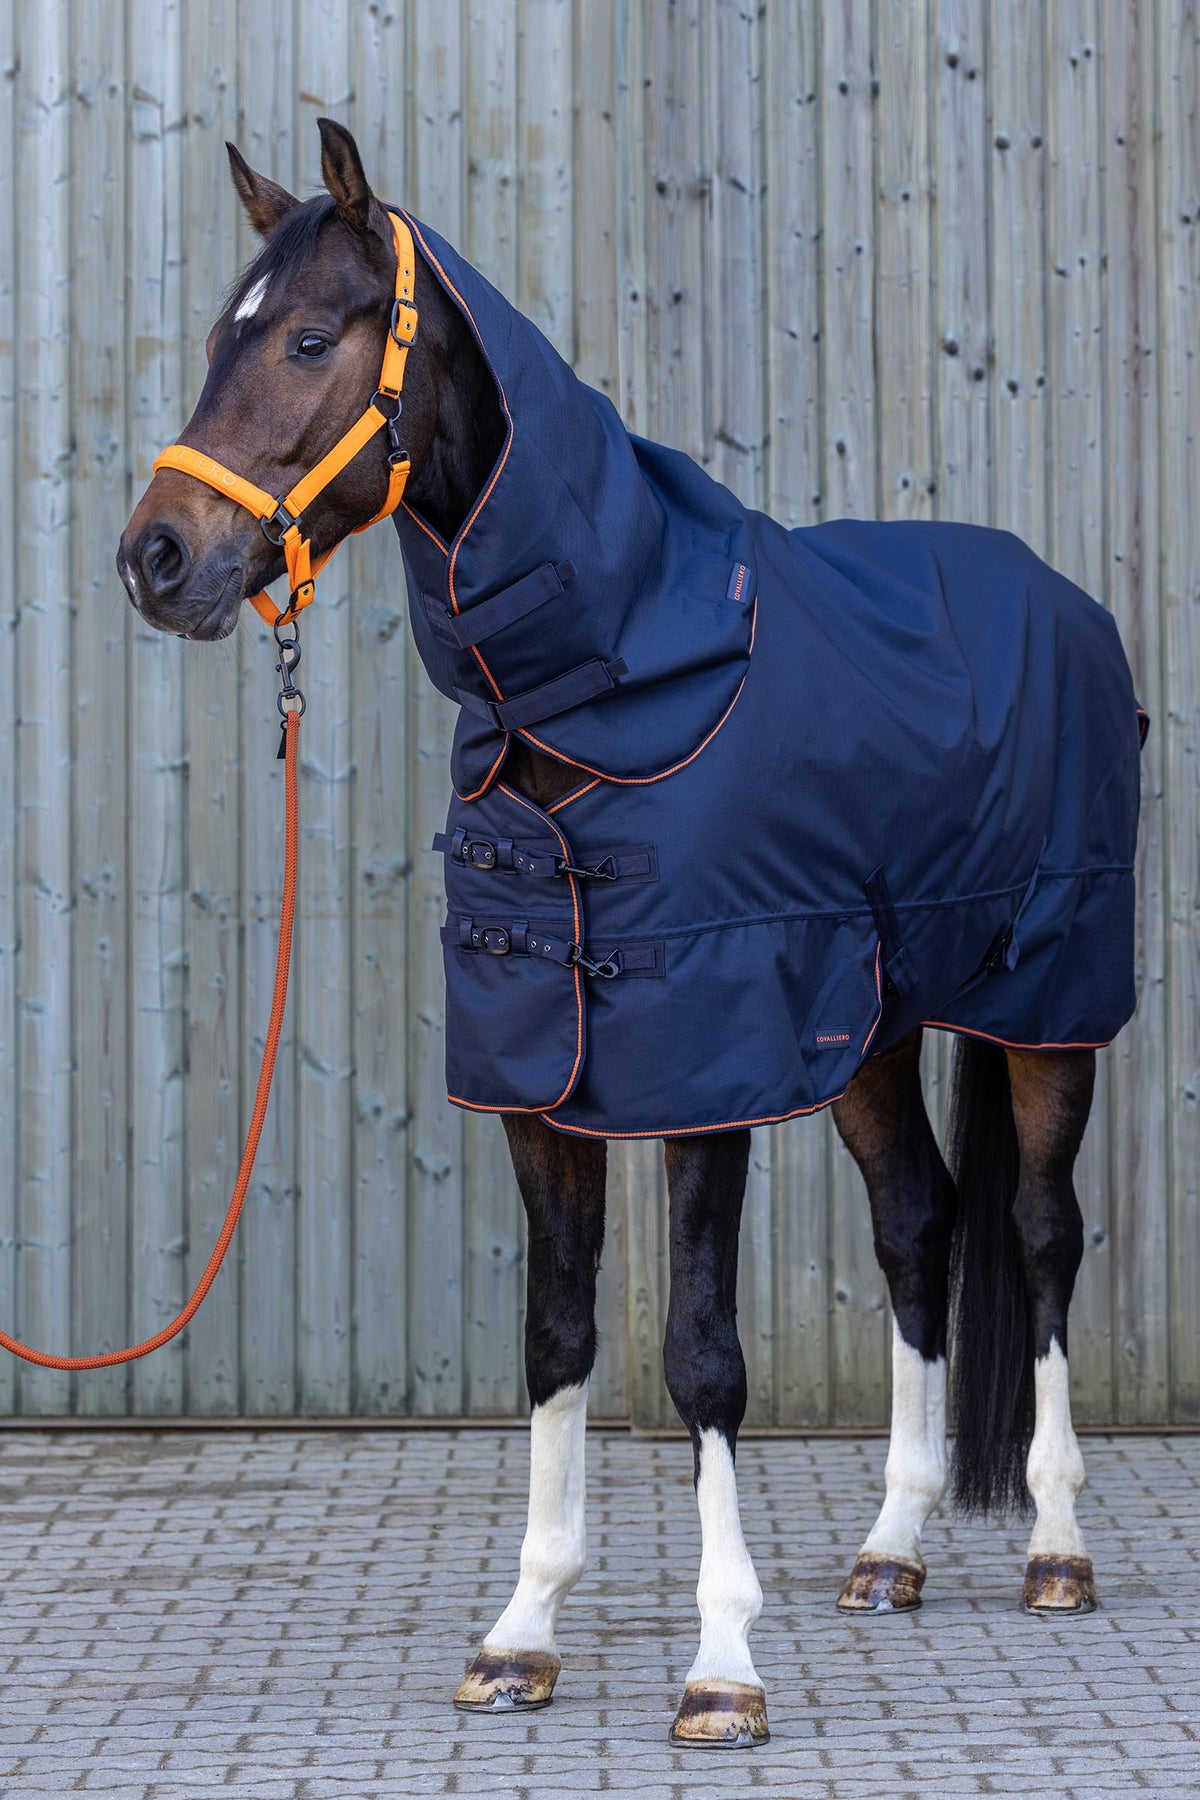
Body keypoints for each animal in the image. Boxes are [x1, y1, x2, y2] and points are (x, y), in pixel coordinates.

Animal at [118, 119, 1144, 1750]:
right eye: (221, 335)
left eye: (305, 338)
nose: (156, 560)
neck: (603, 690)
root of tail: (1062, 602)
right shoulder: (546, 1082)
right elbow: (556, 1341)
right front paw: (523, 1632)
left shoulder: (701, 1069)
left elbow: (702, 1356)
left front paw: (722, 1664)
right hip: (867, 1023)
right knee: (918, 1227)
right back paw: (890, 1550)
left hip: (1047, 1006)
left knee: (1043, 1237)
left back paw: (1055, 1546)